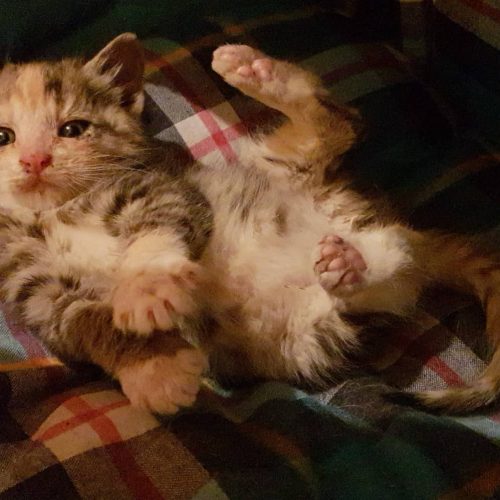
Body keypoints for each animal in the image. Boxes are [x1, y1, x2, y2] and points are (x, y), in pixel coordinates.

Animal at [1, 34, 500, 415]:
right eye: (5, 136)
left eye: (72, 129)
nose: (34, 160)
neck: (53, 213)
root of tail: (377, 218)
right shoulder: (33, 288)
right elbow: (84, 324)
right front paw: (154, 371)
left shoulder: (166, 189)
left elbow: (158, 228)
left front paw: (146, 287)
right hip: (311, 333)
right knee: (384, 274)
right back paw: (350, 265)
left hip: (284, 168)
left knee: (341, 123)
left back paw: (258, 74)